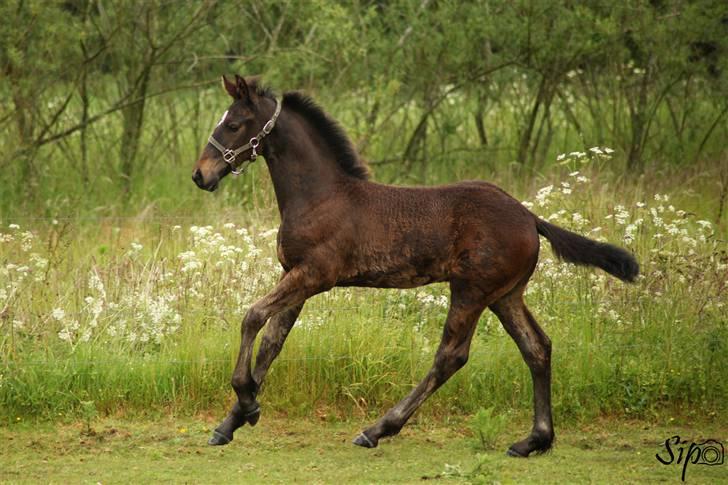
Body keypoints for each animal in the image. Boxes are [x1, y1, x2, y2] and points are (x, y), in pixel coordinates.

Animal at [192, 73, 636, 456]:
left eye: (234, 124)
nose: (200, 176)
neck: (321, 196)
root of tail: (530, 217)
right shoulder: (295, 276)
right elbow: (272, 343)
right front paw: (232, 422)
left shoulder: (314, 276)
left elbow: (252, 317)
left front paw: (246, 399)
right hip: (505, 294)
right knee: (537, 347)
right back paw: (533, 441)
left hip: (471, 290)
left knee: (452, 356)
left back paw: (377, 429)